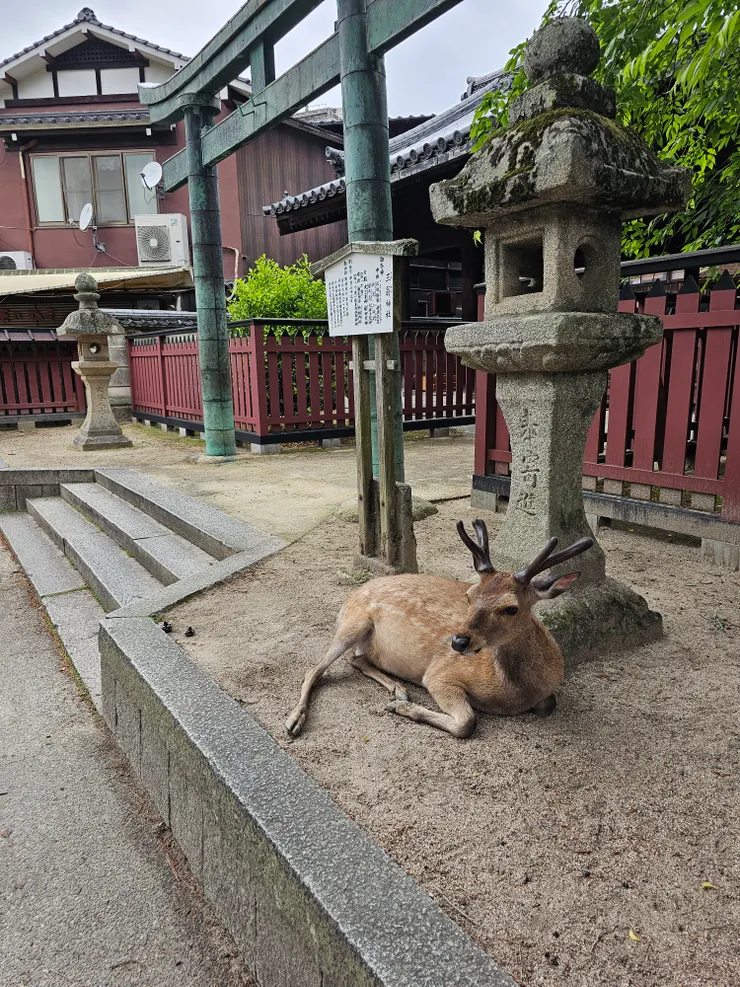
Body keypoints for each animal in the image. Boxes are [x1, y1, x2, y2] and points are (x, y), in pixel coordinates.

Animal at [285, 520, 594, 739]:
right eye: (469, 595)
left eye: (511, 608)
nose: (458, 641)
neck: (514, 692)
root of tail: (351, 594)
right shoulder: (439, 674)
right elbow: (467, 722)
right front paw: (401, 708)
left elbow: (548, 705)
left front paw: (399, 702)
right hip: (353, 622)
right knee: (315, 669)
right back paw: (294, 721)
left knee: (356, 659)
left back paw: (397, 688)